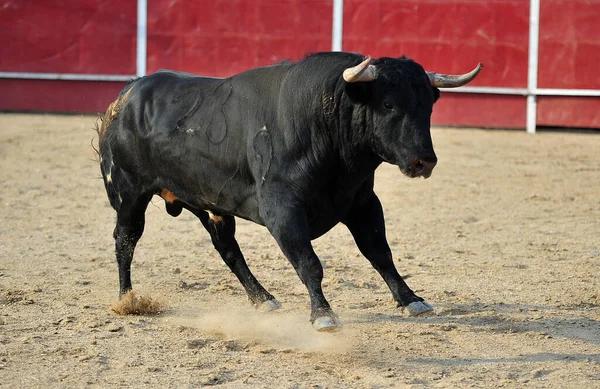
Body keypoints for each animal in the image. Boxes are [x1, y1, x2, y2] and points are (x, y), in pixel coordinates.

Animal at [99, 52, 482, 330]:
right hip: (129, 192)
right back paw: (127, 299)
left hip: (210, 204)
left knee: (227, 248)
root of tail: (126, 94)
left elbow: (380, 253)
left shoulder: (362, 203)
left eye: (428, 104)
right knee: (126, 239)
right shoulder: (282, 209)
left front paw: (411, 300)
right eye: (388, 104)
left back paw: (263, 298)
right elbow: (309, 263)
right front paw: (323, 315)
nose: (424, 161)